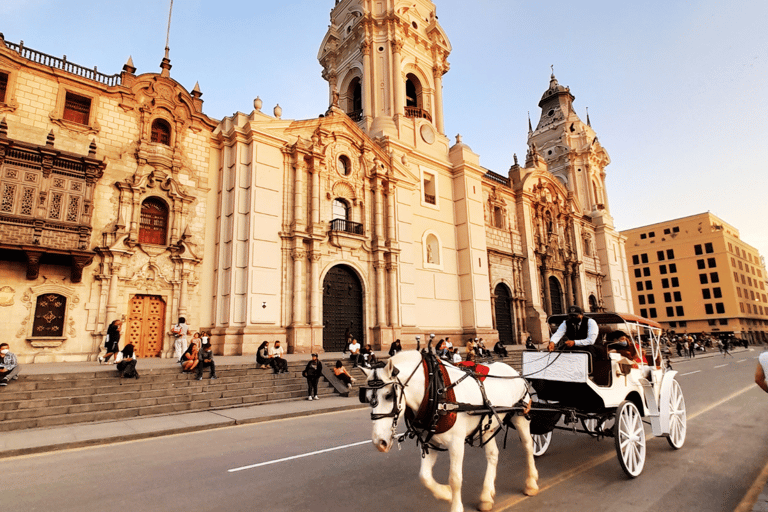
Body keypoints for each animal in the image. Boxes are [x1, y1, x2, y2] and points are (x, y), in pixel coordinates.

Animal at [362, 350, 536, 512]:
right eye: (368, 398)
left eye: (389, 395)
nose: (379, 442)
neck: (436, 393)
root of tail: (515, 371)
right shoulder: (429, 441)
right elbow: (424, 476)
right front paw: (446, 493)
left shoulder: (456, 443)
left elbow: (455, 478)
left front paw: (455, 505)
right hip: (488, 425)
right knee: (493, 454)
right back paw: (486, 496)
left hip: (520, 416)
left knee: (528, 446)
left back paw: (531, 483)